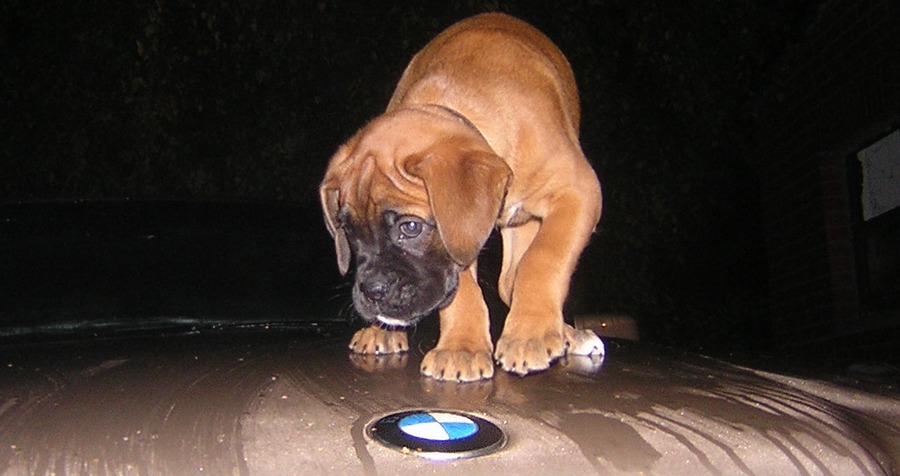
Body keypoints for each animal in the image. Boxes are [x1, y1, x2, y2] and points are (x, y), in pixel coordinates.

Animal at [320, 13, 600, 382]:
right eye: (349, 232)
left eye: (410, 228)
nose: (372, 290)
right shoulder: (457, 239)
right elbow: (462, 285)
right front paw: (461, 348)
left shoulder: (579, 191)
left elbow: (544, 257)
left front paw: (531, 333)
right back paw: (382, 332)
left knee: (513, 278)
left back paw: (565, 332)